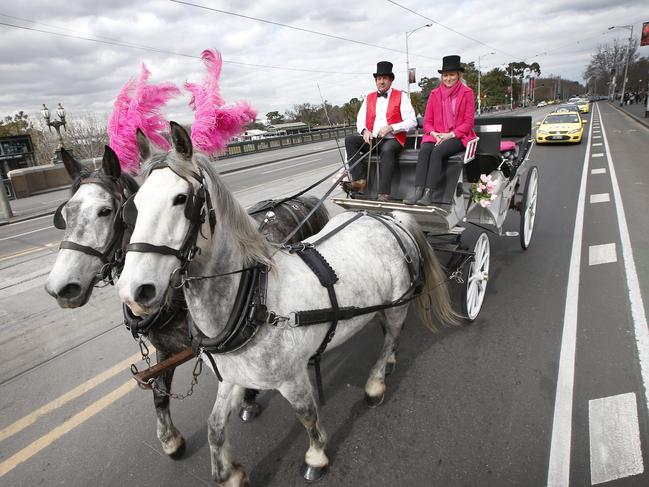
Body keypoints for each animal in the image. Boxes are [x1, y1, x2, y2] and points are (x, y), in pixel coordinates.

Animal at [42, 147, 330, 460]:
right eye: (65, 213)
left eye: (106, 211)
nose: (61, 288)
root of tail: (307, 200)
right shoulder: (166, 349)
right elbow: (159, 392)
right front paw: (170, 439)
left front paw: (247, 399)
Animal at [117, 123, 456, 487]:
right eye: (133, 206)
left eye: (182, 199)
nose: (134, 290)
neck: (254, 302)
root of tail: (390, 218)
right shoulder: (233, 376)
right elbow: (214, 428)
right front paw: (229, 473)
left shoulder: (292, 379)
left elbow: (307, 415)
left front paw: (317, 456)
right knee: (388, 334)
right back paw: (390, 362)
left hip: (396, 305)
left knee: (392, 335)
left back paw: (377, 382)